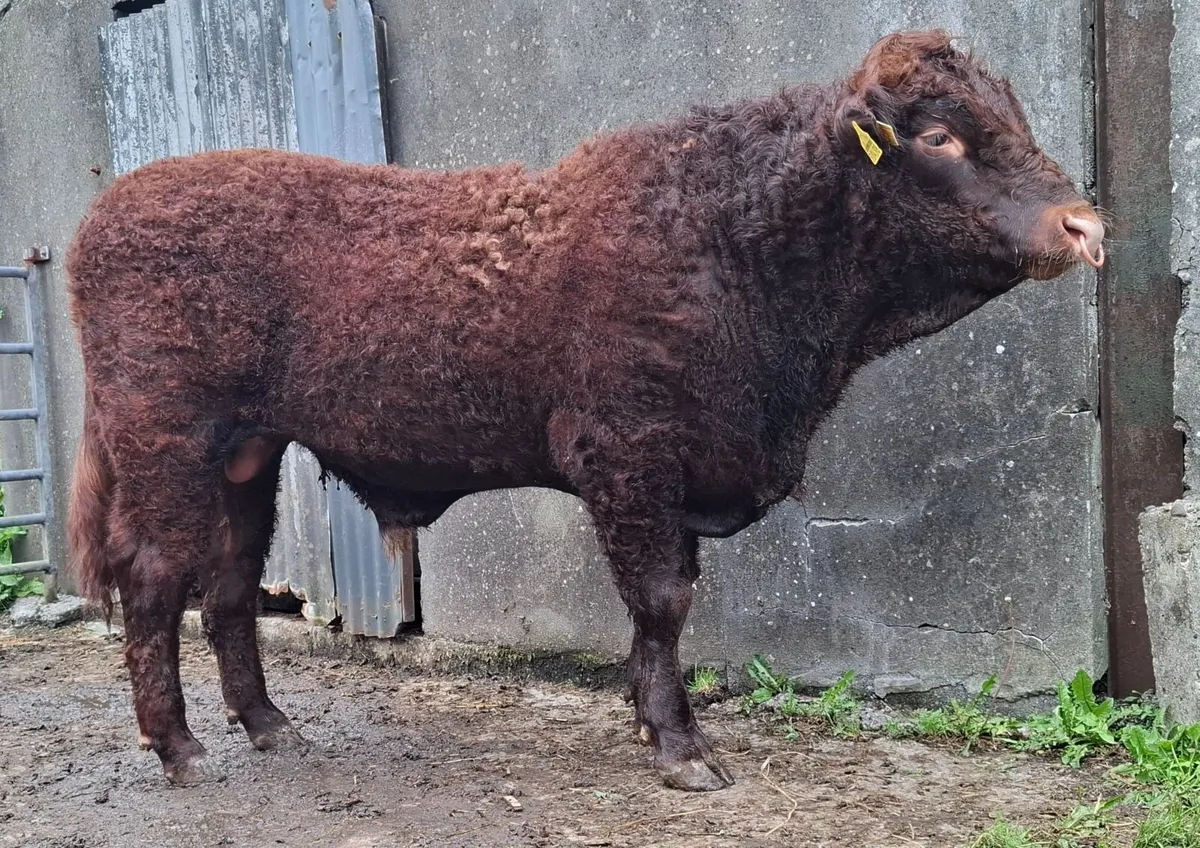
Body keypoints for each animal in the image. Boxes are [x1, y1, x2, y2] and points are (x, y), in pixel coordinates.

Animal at [66, 30, 1105, 791]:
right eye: (939, 136)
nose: (1084, 225)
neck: (729, 233)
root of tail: (111, 209)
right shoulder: (630, 456)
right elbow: (662, 601)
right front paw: (683, 751)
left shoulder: (674, 476)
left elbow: (666, 609)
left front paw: (655, 723)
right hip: (169, 446)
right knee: (154, 581)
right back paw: (181, 749)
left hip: (247, 457)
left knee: (231, 587)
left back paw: (271, 727)